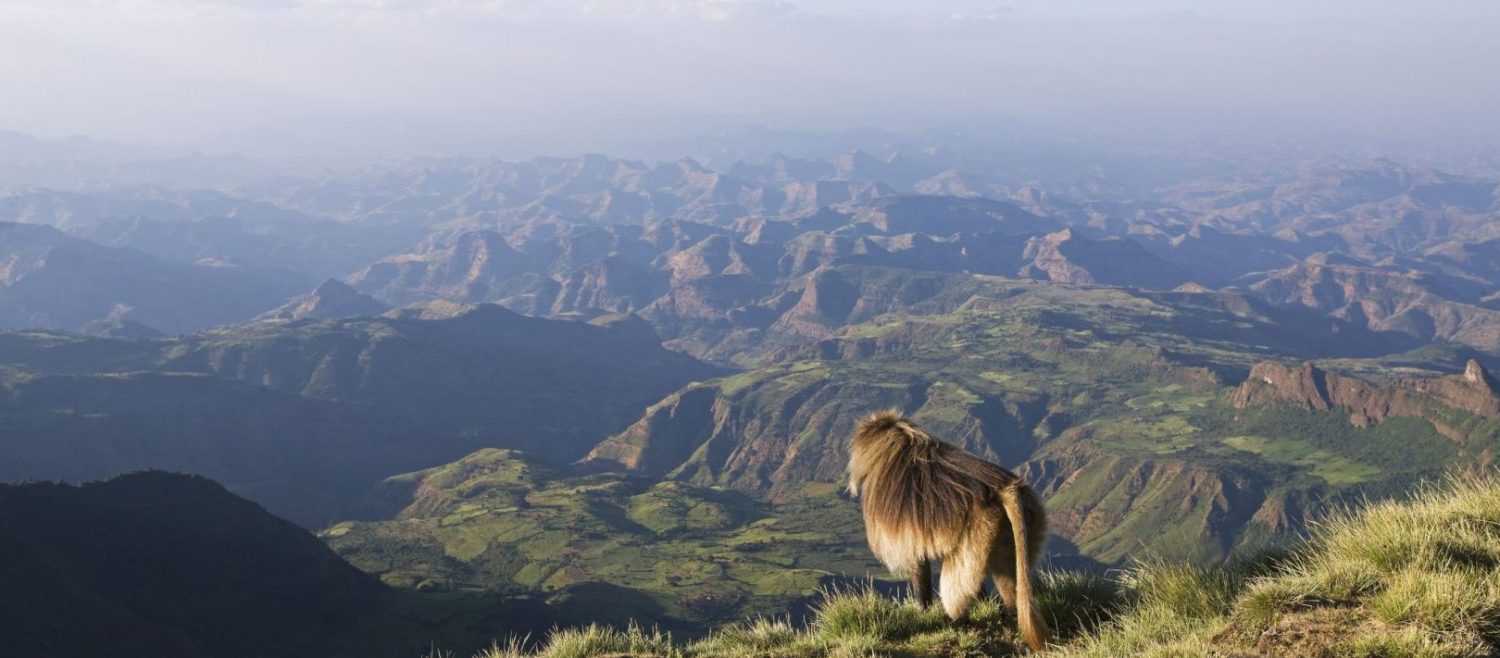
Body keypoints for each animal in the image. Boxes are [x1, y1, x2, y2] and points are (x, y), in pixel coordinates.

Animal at [846, 410, 1050, 652]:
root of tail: (1004, 489)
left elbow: (917, 563)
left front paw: (923, 610)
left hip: (980, 531)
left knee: (957, 581)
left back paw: (959, 621)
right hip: (1025, 521)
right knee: (1007, 575)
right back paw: (1009, 616)